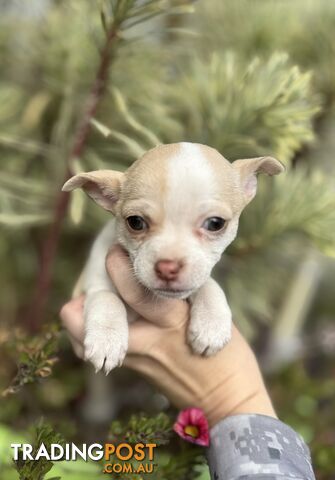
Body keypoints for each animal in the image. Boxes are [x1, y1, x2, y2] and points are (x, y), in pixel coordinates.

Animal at [62, 141, 284, 374]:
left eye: (215, 223)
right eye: (135, 222)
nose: (167, 267)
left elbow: (209, 285)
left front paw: (212, 323)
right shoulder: (91, 286)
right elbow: (107, 298)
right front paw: (107, 339)